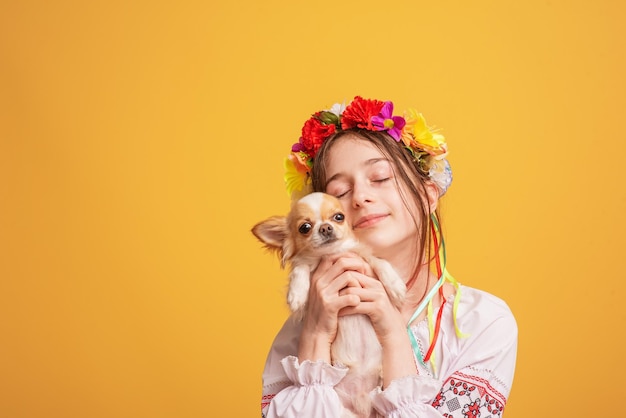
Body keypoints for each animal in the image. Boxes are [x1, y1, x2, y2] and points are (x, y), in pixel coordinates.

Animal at [250, 193, 404, 418]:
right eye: (305, 227)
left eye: (339, 217)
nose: (325, 228)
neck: (331, 255)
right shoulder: (308, 271)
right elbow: (301, 267)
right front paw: (297, 292)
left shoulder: (364, 258)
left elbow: (380, 262)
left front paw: (395, 286)